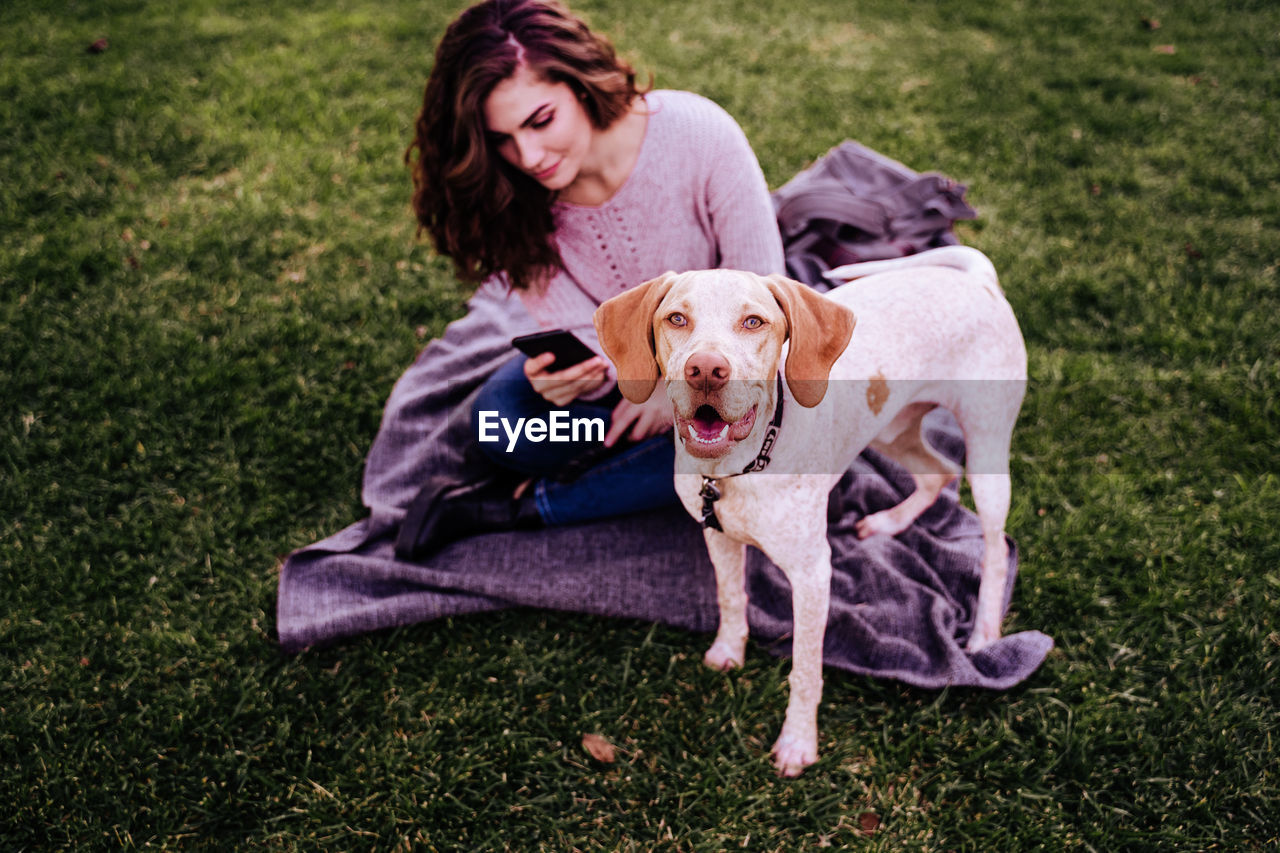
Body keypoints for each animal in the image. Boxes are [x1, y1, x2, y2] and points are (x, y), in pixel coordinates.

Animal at [591, 242, 1029, 773]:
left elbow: (804, 669)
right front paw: (728, 651)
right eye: (676, 318)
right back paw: (890, 521)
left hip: (987, 451)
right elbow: (731, 598)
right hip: (892, 428)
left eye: (754, 322)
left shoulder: (813, 574)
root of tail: (978, 280)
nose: (706, 370)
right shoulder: (718, 535)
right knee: (938, 471)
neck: (740, 468)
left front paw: (798, 742)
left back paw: (984, 632)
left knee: (994, 548)